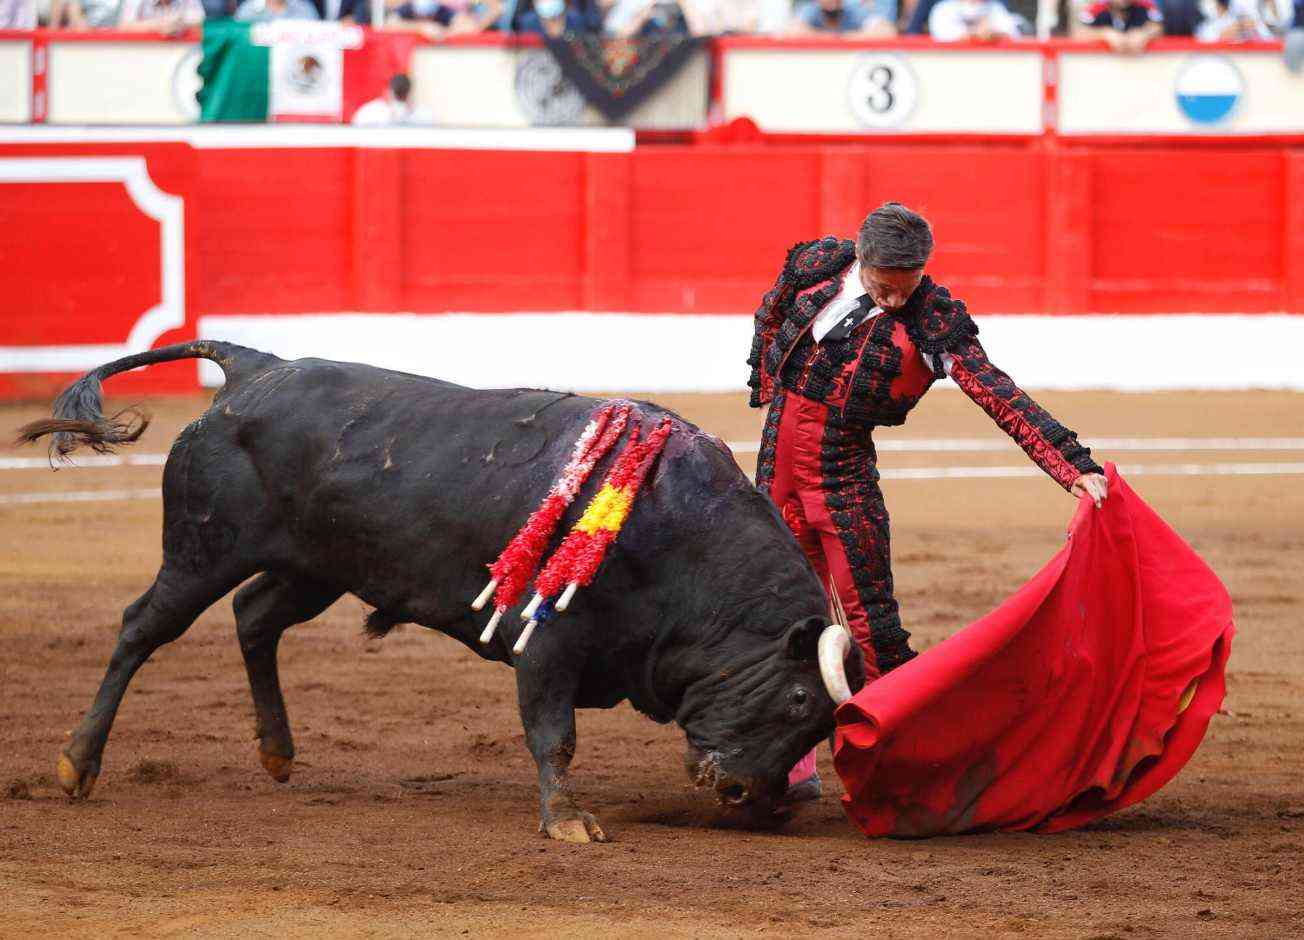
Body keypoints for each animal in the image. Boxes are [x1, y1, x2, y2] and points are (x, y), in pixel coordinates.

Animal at [17, 341, 863, 843]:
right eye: (797, 700)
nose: (748, 796)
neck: (679, 537)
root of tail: (254, 368)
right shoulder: (547, 642)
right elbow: (553, 733)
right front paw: (568, 821)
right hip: (202, 552)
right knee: (141, 628)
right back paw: (77, 765)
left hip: (316, 568)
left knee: (255, 617)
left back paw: (278, 753)